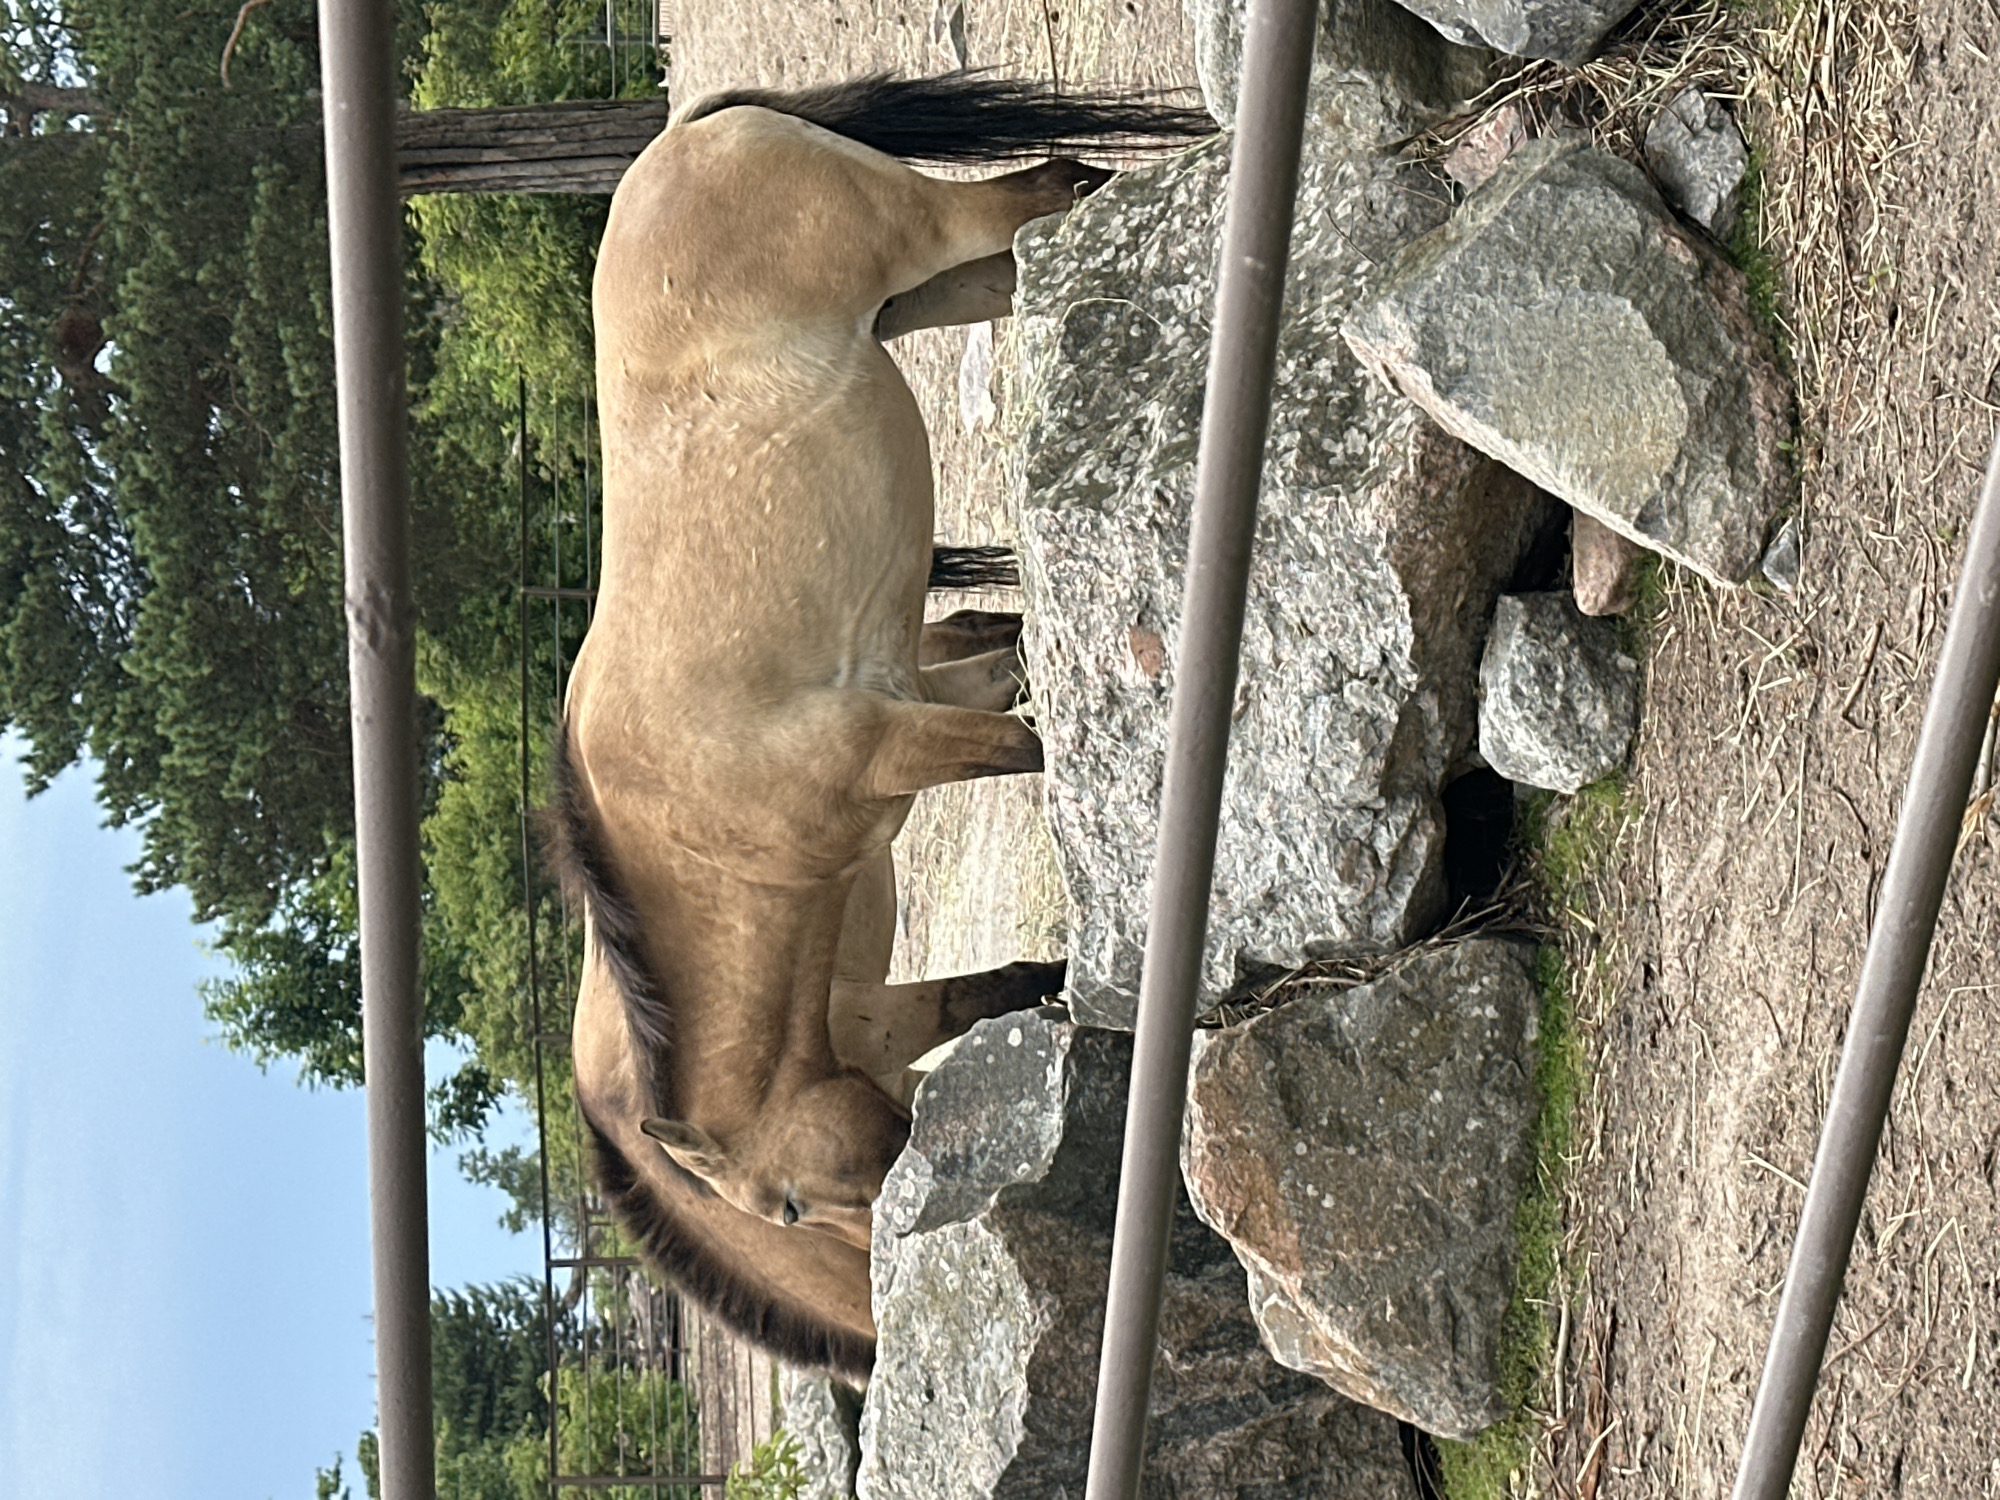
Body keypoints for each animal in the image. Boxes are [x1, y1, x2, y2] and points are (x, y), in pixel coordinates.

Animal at [558, 73, 1214, 1375]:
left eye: (780, 1209)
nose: (887, 1234)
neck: (702, 827)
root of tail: (683, 139)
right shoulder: (922, 709)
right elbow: (990, 972)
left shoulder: (893, 744)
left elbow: (1031, 750)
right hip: (931, 293)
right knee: (1028, 243)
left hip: (923, 235)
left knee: (1041, 192)